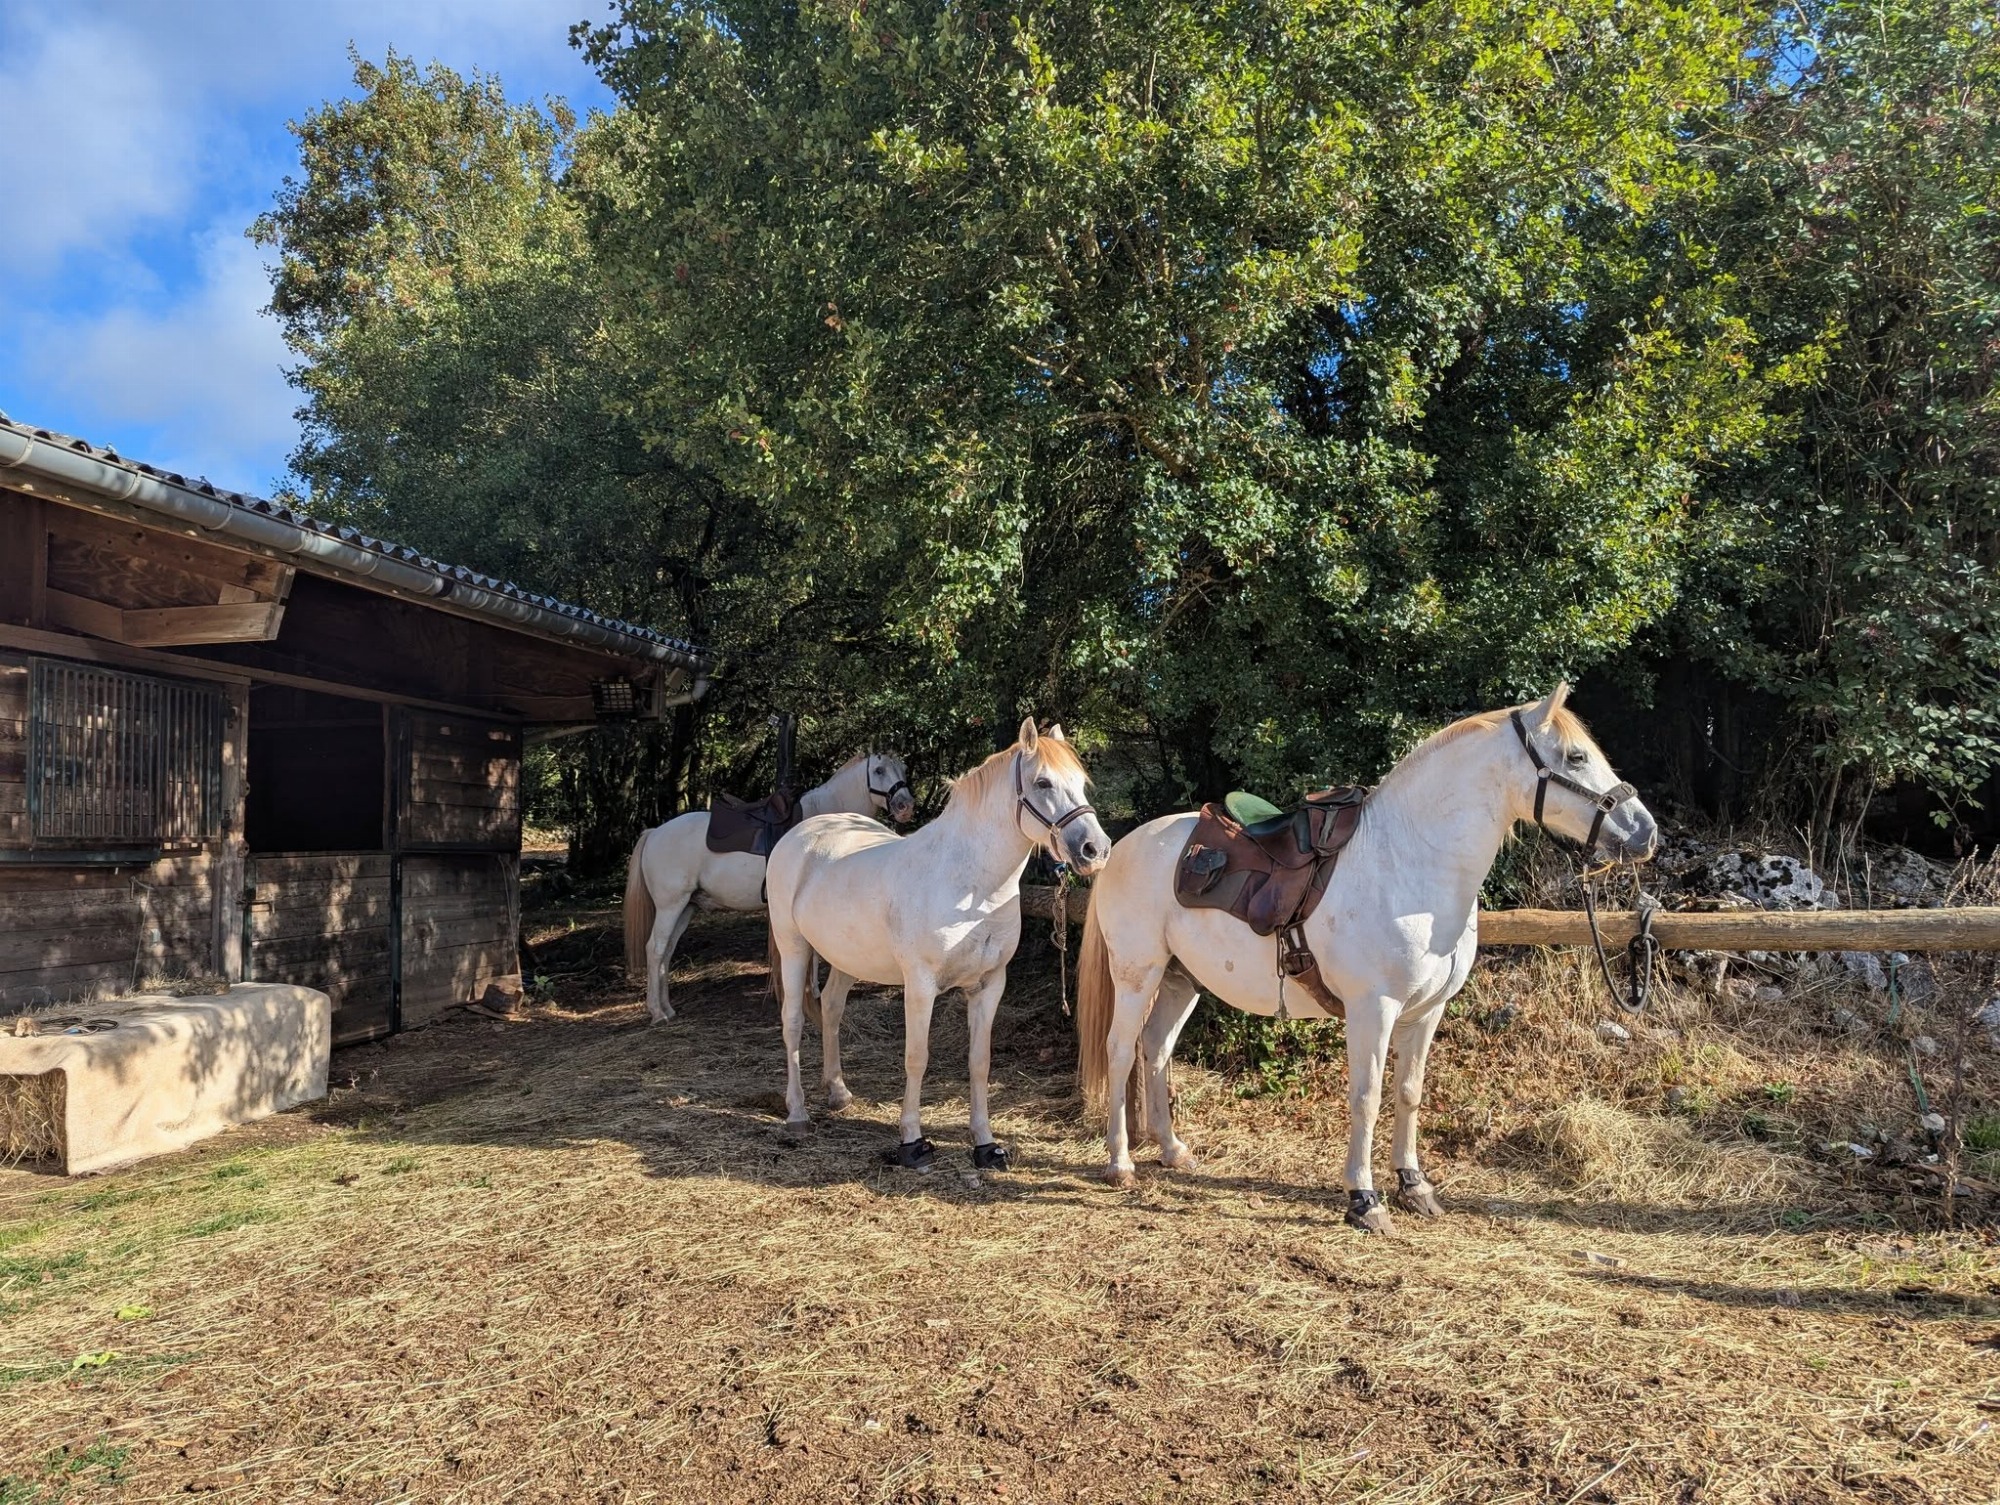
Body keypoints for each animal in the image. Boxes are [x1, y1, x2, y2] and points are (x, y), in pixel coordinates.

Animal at [624, 751, 918, 1022]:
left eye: (903, 768)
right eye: (879, 770)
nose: (906, 806)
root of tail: (654, 832)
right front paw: (811, 992)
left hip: (687, 907)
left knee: (667, 951)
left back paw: (667, 1008)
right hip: (670, 905)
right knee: (656, 948)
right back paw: (657, 1012)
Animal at [766, 719, 1110, 1168]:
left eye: (1082, 784)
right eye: (1043, 782)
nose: (1095, 849)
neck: (971, 887)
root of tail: (799, 835)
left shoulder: (989, 986)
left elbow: (980, 1062)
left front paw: (985, 1145)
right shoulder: (921, 986)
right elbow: (917, 1058)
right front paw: (912, 1142)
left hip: (847, 959)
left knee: (831, 1008)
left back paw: (838, 1092)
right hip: (793, 948)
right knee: (792, 1022)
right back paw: (797, 1114)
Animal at [1074, 685, 1657, 1233]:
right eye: (1575, 757)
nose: (1645, 832)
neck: (1409, 864)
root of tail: (1121, 846)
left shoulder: (1426, 1012)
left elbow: (1409, 1092)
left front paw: (1414, 1185)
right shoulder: (1373, 1009)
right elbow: (1367, 1097)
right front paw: (1364, 1199)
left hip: (1181, 979)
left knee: (1155, 1049)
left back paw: (1173, 1151)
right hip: (1138, 975)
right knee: (1121, 1050)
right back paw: (1121, 1163)